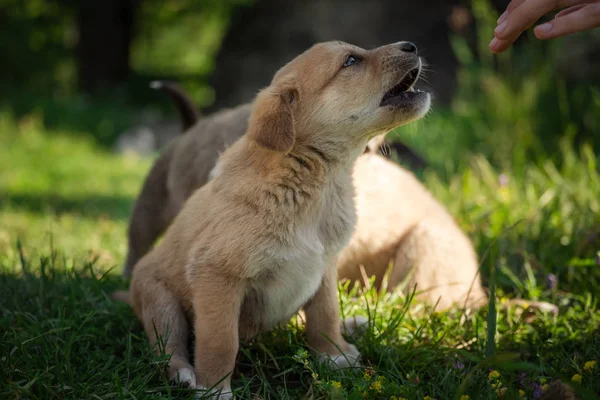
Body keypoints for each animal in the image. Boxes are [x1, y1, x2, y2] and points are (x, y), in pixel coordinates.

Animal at [113, 40, 432, 396]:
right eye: (351, 61)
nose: (411, 45)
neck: (318, 183)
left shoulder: (323, 269)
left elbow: (324, 317)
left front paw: (334, 356)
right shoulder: (216, 276)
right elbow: (220, 341)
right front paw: (214, 389)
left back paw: (353, 327)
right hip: (160, 300)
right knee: (168, 345)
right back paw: (183, 374)